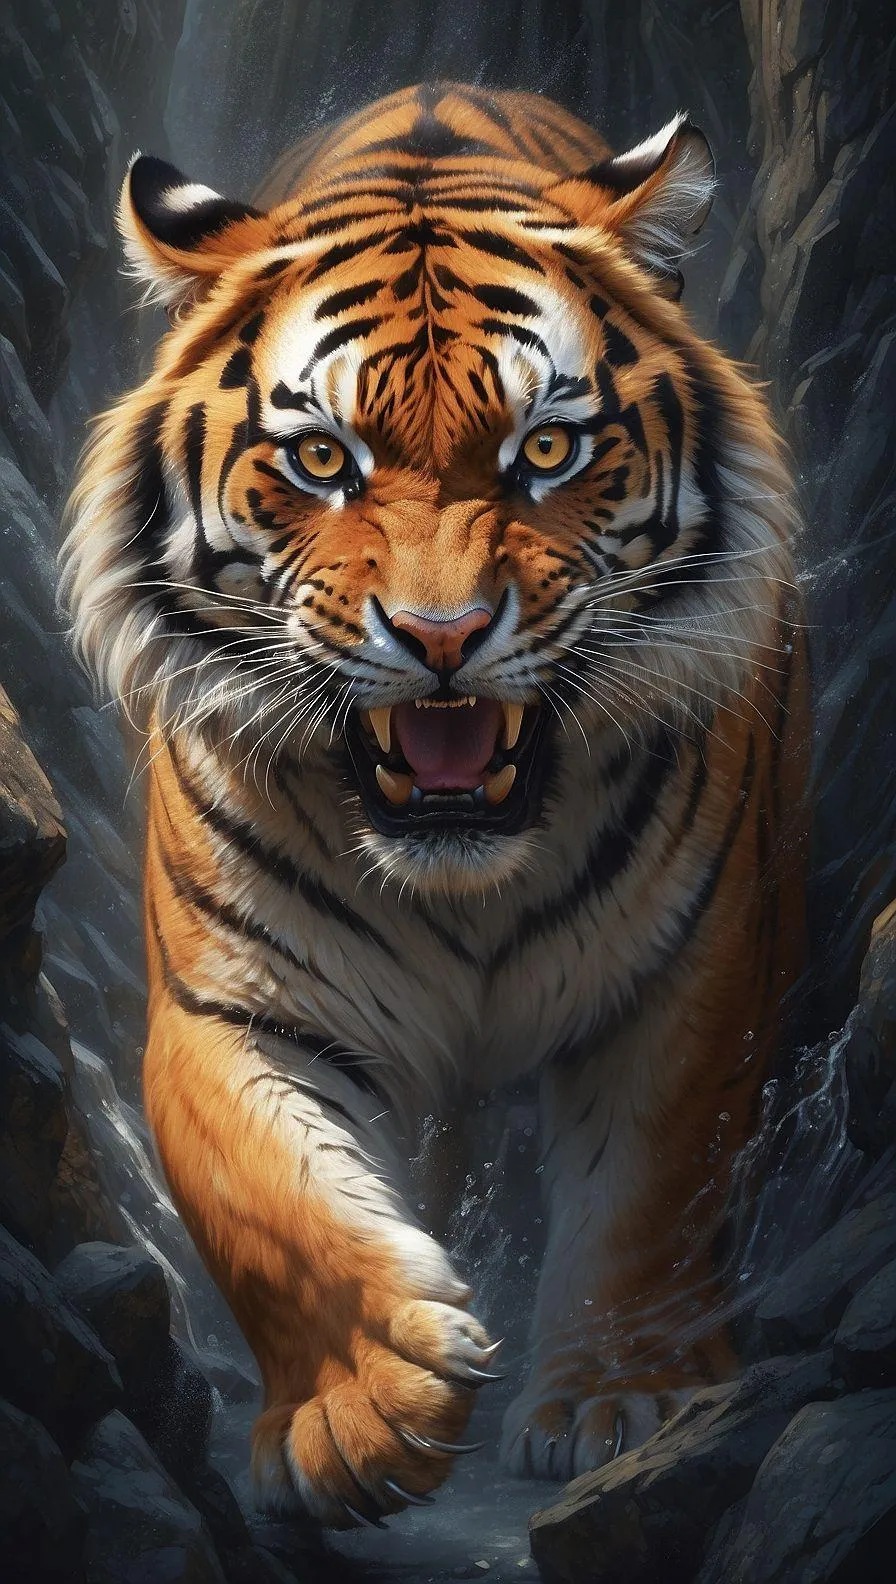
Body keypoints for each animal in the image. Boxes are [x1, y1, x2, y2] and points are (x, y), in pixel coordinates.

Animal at [61, 83, 808, 1526]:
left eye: (548, 448)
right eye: (320, 458)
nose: (444, 635)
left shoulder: (690, 977)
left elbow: (654, 1189)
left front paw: (622, 1402)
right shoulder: (232, 1004)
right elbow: (270, 1200)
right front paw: (364, 1413)